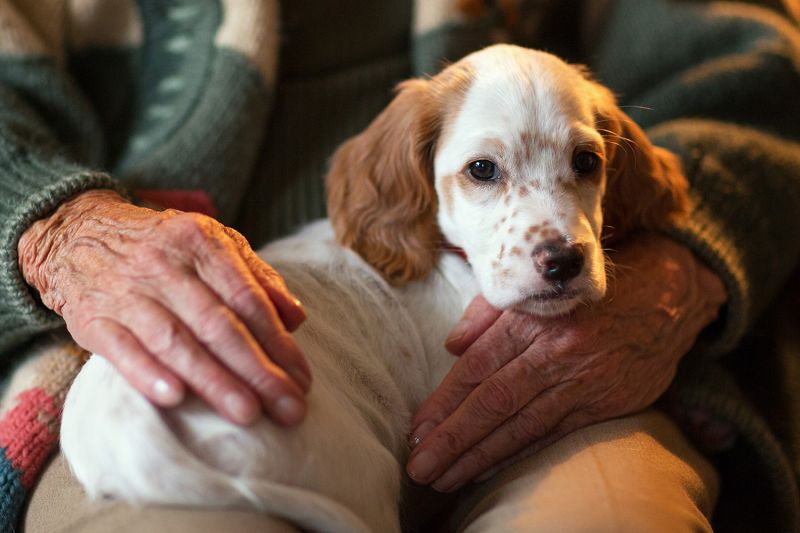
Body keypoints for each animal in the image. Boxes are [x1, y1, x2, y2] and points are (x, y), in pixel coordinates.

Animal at [61, 44, 688, 532]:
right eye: (482, 170)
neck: (450, 261)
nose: (563, 262)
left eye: (587, 161)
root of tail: (146, 453)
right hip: (359, 472)